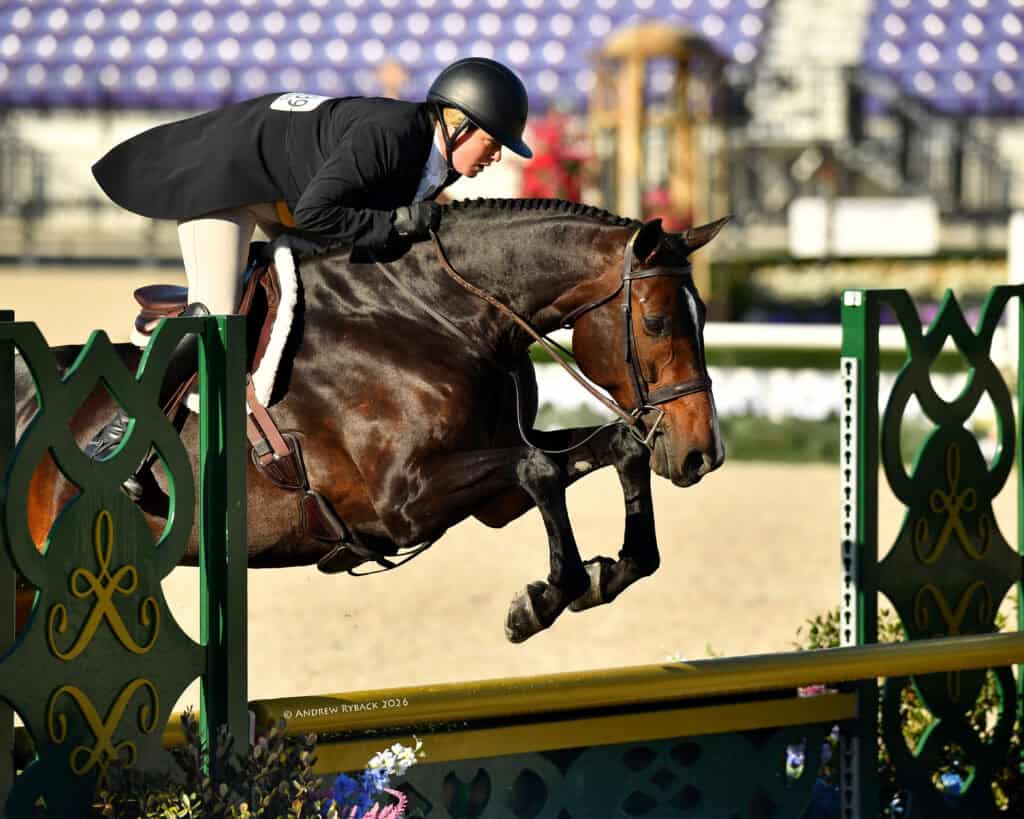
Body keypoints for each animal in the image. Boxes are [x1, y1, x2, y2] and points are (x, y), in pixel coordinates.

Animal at [13, 198, 726, 643]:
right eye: (657, 321)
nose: (702, 454)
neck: (443, 318)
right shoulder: (402, 503)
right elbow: (541, 469)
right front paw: (543, 602)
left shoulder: (490, 498)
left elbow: (610, 450)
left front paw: (608, 574)